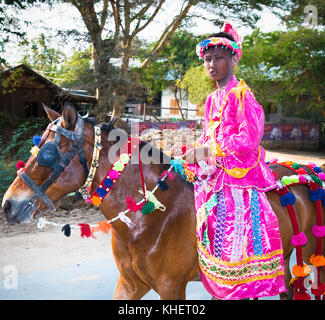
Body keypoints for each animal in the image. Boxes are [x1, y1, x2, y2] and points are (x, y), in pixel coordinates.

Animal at [1, 105, 322, 300]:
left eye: (47, 154)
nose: (8, 205)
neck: (148, 218)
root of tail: (307, 171)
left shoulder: (171, 287)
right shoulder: (130, 284)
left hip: (311, 254)